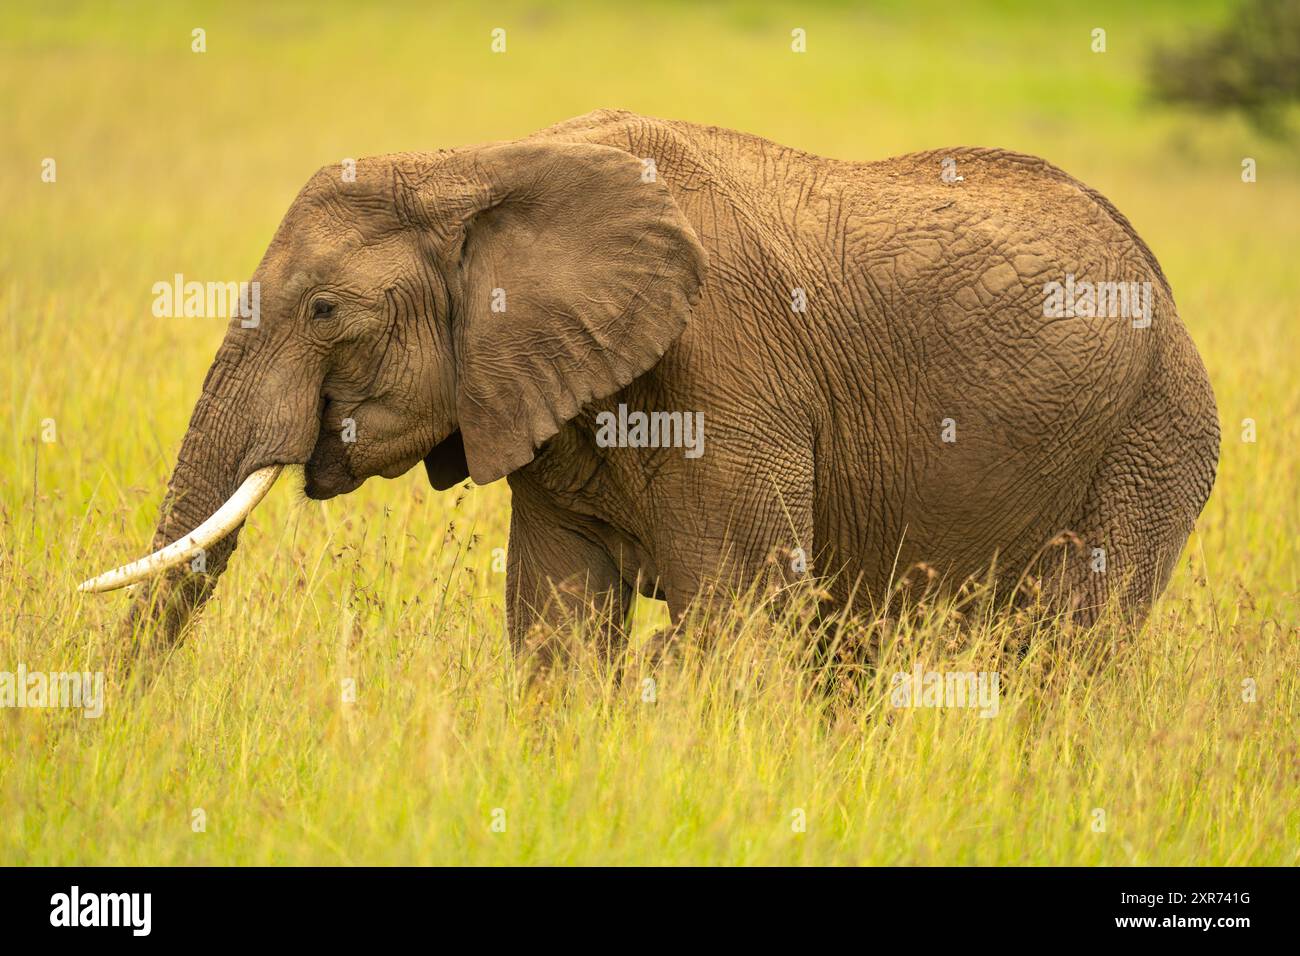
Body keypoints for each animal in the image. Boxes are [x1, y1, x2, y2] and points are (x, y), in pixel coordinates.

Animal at [81, 109, 1219, 654]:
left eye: (323, 313)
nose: (119, 719)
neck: (481, 166)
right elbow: (556, 620)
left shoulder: (729, 374)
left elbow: (743, 614)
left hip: (1153, 437)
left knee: (1070, 652)